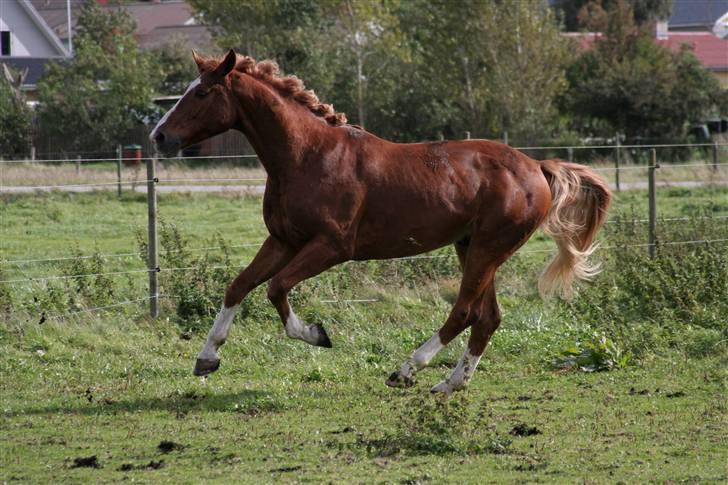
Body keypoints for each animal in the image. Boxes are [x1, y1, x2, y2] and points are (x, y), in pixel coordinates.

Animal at [151, 50, 612, 394]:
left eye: (202, 92)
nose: (158, 136)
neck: (307, 156)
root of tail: (537, 167)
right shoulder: (282, 240)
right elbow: (239, 286)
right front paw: (207, 357)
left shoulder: (332, 247)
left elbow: (276, 288)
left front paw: (317, 334)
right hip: (472, 247)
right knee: (488, 317)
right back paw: (451, 383)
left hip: (487, 248)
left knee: (465, 311)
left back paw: (407, 369)